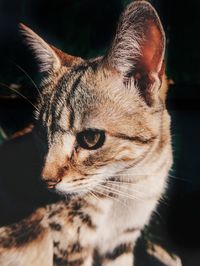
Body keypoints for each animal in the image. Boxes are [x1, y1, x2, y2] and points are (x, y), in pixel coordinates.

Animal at [0, 1, 172, 264]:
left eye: (91, 139)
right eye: (41, 134)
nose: (46, 181)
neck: (132, 183)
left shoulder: (121, 241)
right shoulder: (69, 240)